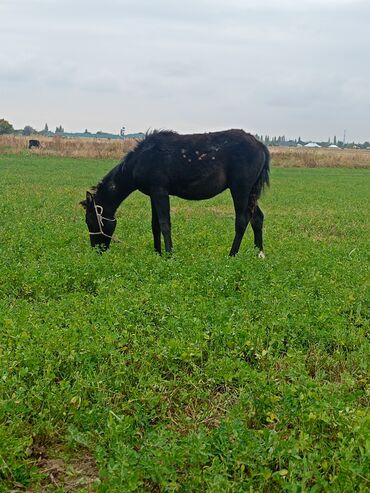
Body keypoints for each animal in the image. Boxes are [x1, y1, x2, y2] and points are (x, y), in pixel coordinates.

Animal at [81, 129, 270, 256]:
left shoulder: (160, 191)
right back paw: (259, 253)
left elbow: (165, 224)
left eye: (90, 220)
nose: (96, 251)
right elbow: (155, 225)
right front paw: (157, 253)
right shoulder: (153, 194)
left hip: (240, 189)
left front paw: (169, 255)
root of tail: (260, 145)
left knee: (242, 220)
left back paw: (232, 255)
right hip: (251, 192)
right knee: (257, 218)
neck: (139, 161)